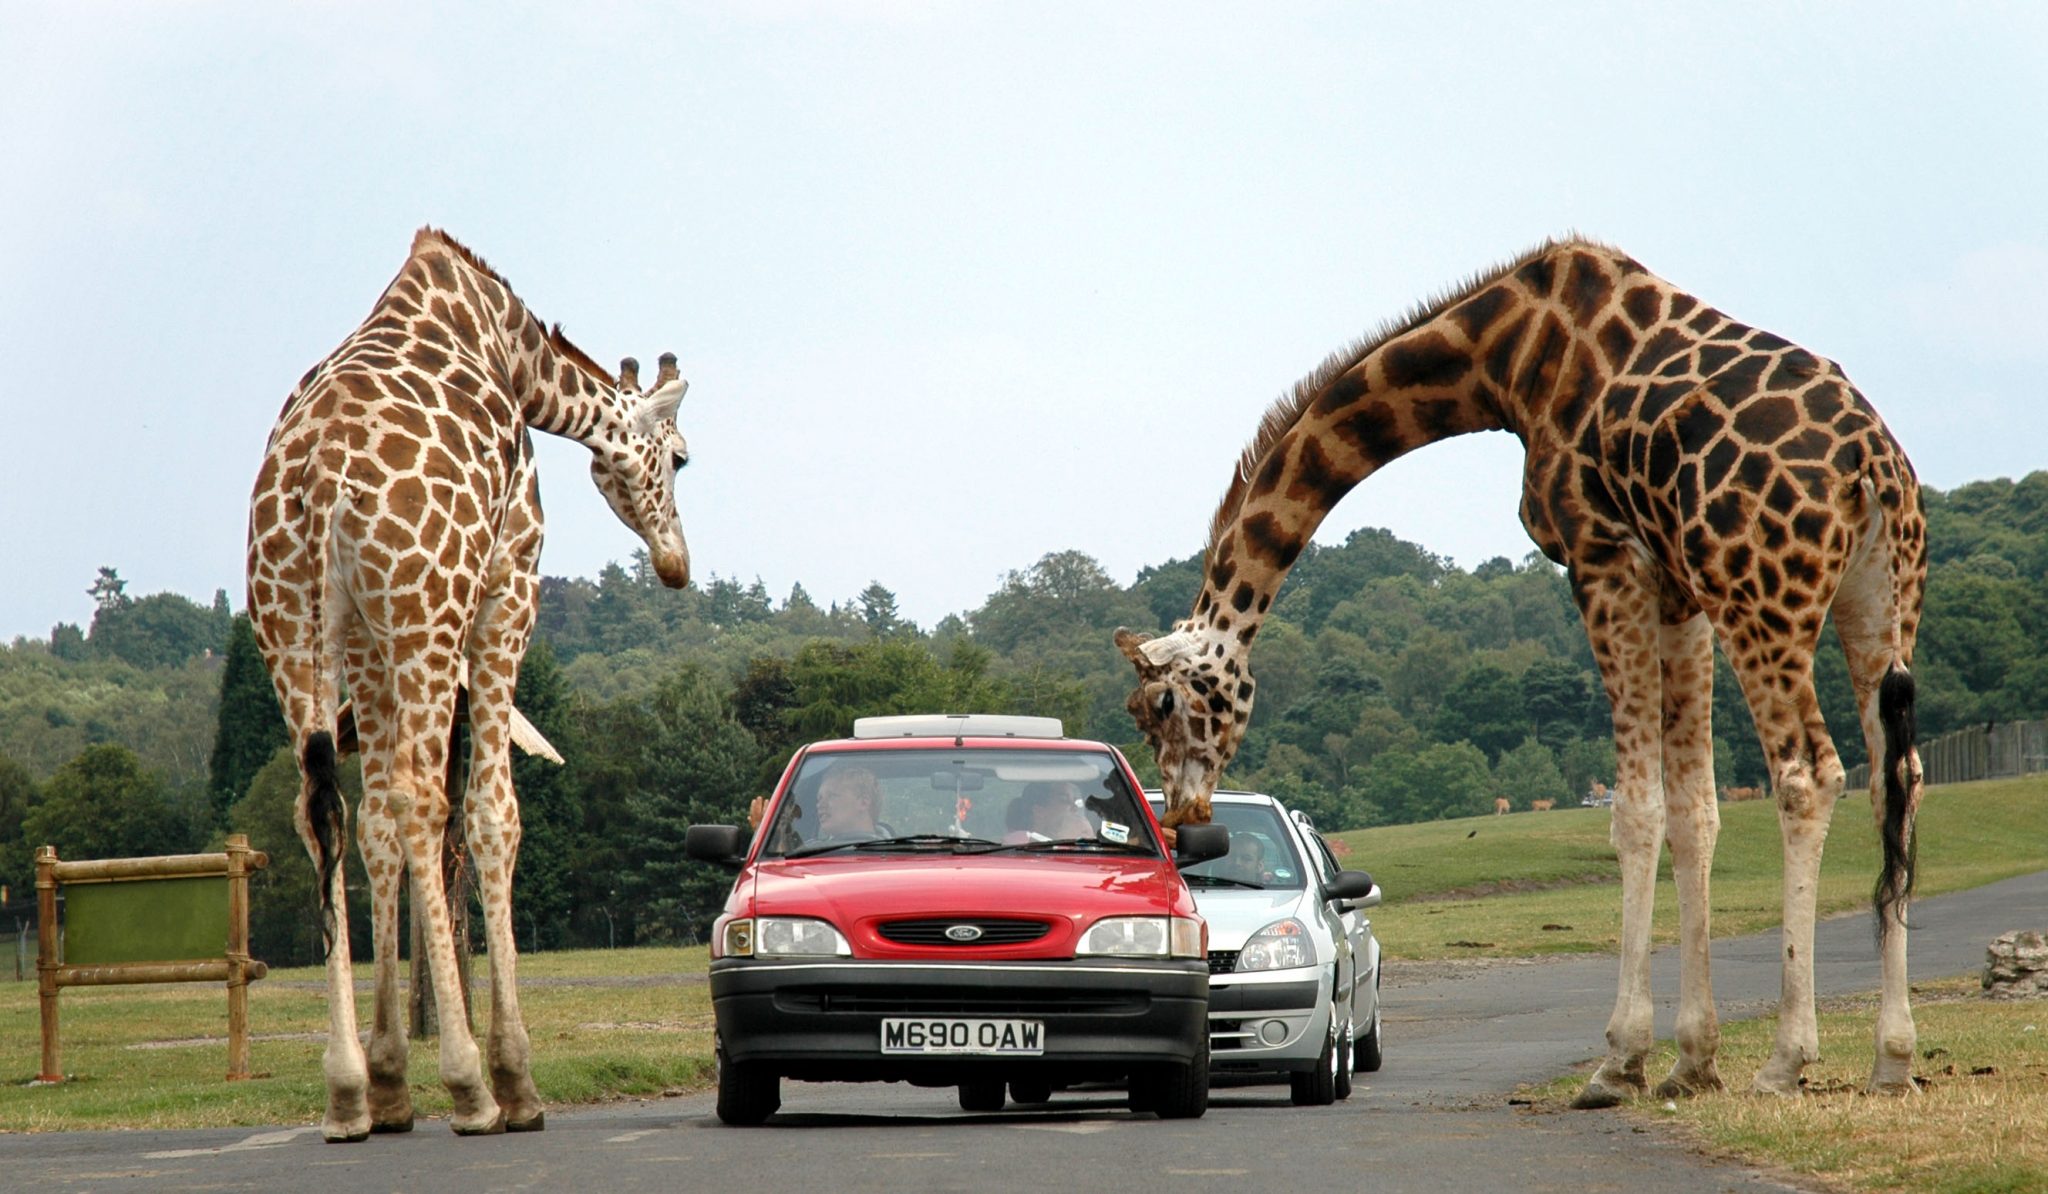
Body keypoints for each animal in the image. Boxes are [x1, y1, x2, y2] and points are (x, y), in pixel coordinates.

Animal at [244, 226, 696, 1138]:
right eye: (682, 458)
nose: (677, 563)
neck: (515, 354)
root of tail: (316, 481)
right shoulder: (507, 582)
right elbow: (493, 812)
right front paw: (515, 1076)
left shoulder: (369, 639)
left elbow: (375, 827)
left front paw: (388, 1079)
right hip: (428, 609)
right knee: (425, 798)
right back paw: (473, 1087)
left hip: (293, 624)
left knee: (325, 809)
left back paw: (346, 1092)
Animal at [1122, 238, 1933, 1105]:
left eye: (1161, 704)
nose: (1187, 817)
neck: (1503, 359)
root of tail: (1872, 467)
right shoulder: (1675, 587)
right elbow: (1695, 812)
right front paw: (1692, 1061)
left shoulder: (1602, 555)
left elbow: (1636, 810)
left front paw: (1620, 1060)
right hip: (1879, 601)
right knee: (1895, 777)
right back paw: (1893, 1056)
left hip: (1759, 596)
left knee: (1808, 773)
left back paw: (1787, 1060)